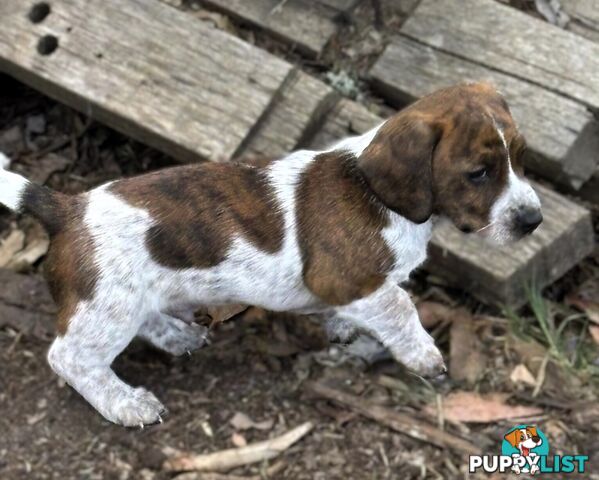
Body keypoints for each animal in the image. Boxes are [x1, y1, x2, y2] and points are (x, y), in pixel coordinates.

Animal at [0, 83, 544, 428]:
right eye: (479, 173)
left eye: (522, 158)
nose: (534, 220)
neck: (377, 191)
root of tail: (68, 207)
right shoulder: (350, 279)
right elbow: (400, 307)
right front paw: (423, 356)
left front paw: (344, 327)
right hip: (106, 309)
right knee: (70, 359)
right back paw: (125, 404)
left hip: (126, 300)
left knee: (142, 322)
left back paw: (176, 335)